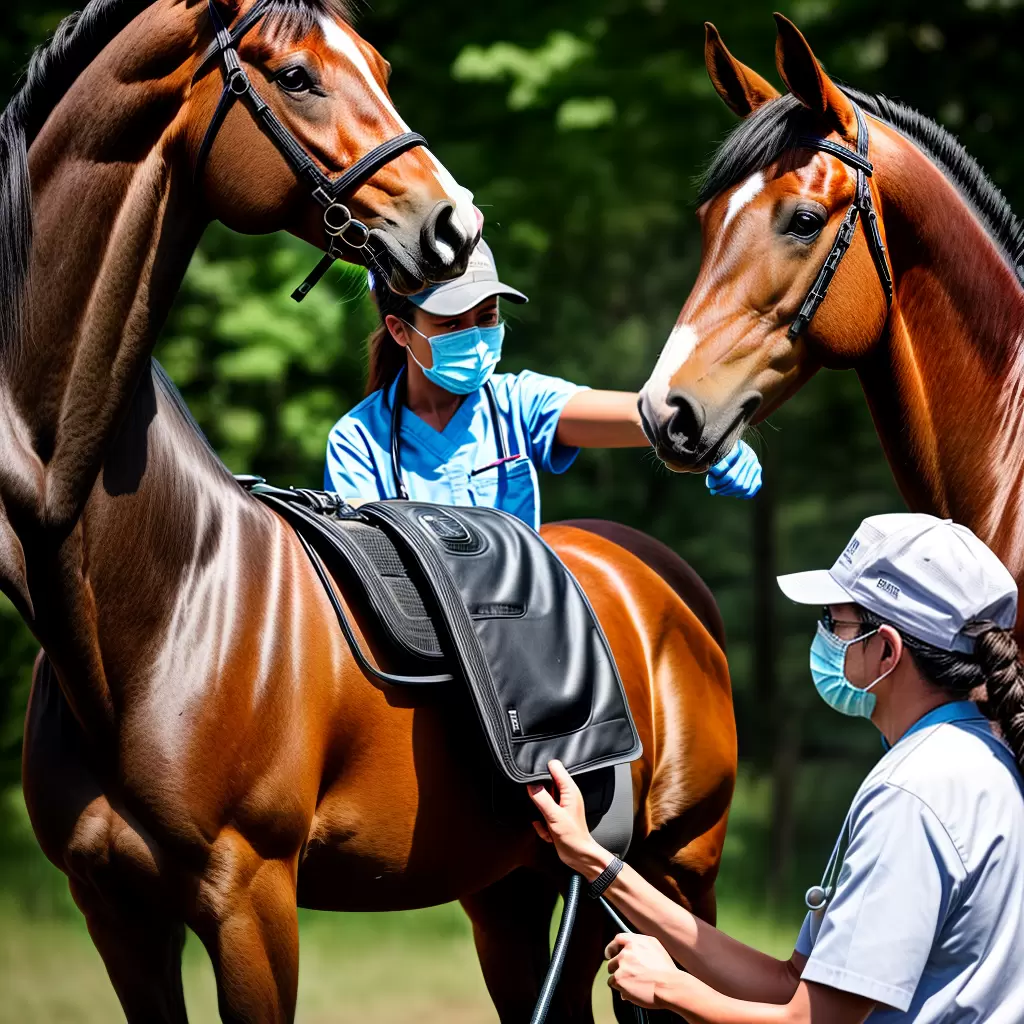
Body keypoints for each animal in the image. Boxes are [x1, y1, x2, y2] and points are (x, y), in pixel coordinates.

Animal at [7, 2, 737, 1022]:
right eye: (296, 76)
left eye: (382, 65)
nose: (456, 222)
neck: (166, 595)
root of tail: (662, 582)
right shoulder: (116, 915)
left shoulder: (250, 902)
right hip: (515, 895)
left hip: (679, 873)